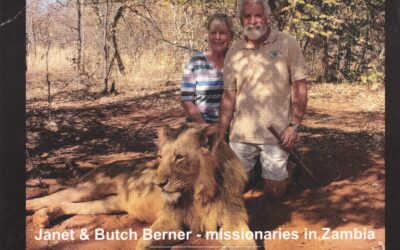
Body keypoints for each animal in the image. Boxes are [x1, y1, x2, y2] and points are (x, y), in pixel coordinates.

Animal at [27, 123, 256, 250]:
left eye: (179, 157)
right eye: (160, 157)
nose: (158, 184)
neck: (201, 192)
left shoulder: (233, 218)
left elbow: (245, 243)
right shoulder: (170, 219)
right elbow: (145, 242)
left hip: (109, 204)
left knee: (71, 205)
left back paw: (44, 216)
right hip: (88, 187)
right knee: (55, 197)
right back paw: (36, 212)